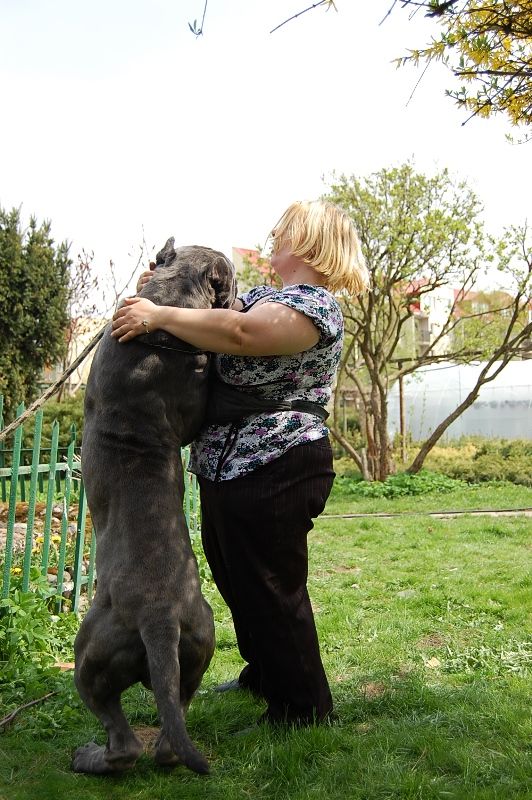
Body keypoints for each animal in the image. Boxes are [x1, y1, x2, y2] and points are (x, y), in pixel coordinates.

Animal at [72, 240, 236, 776]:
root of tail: (158, 617)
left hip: (91, 662)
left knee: (127, 741)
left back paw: (89, 757)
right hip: (195, 648)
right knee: (160, 738)